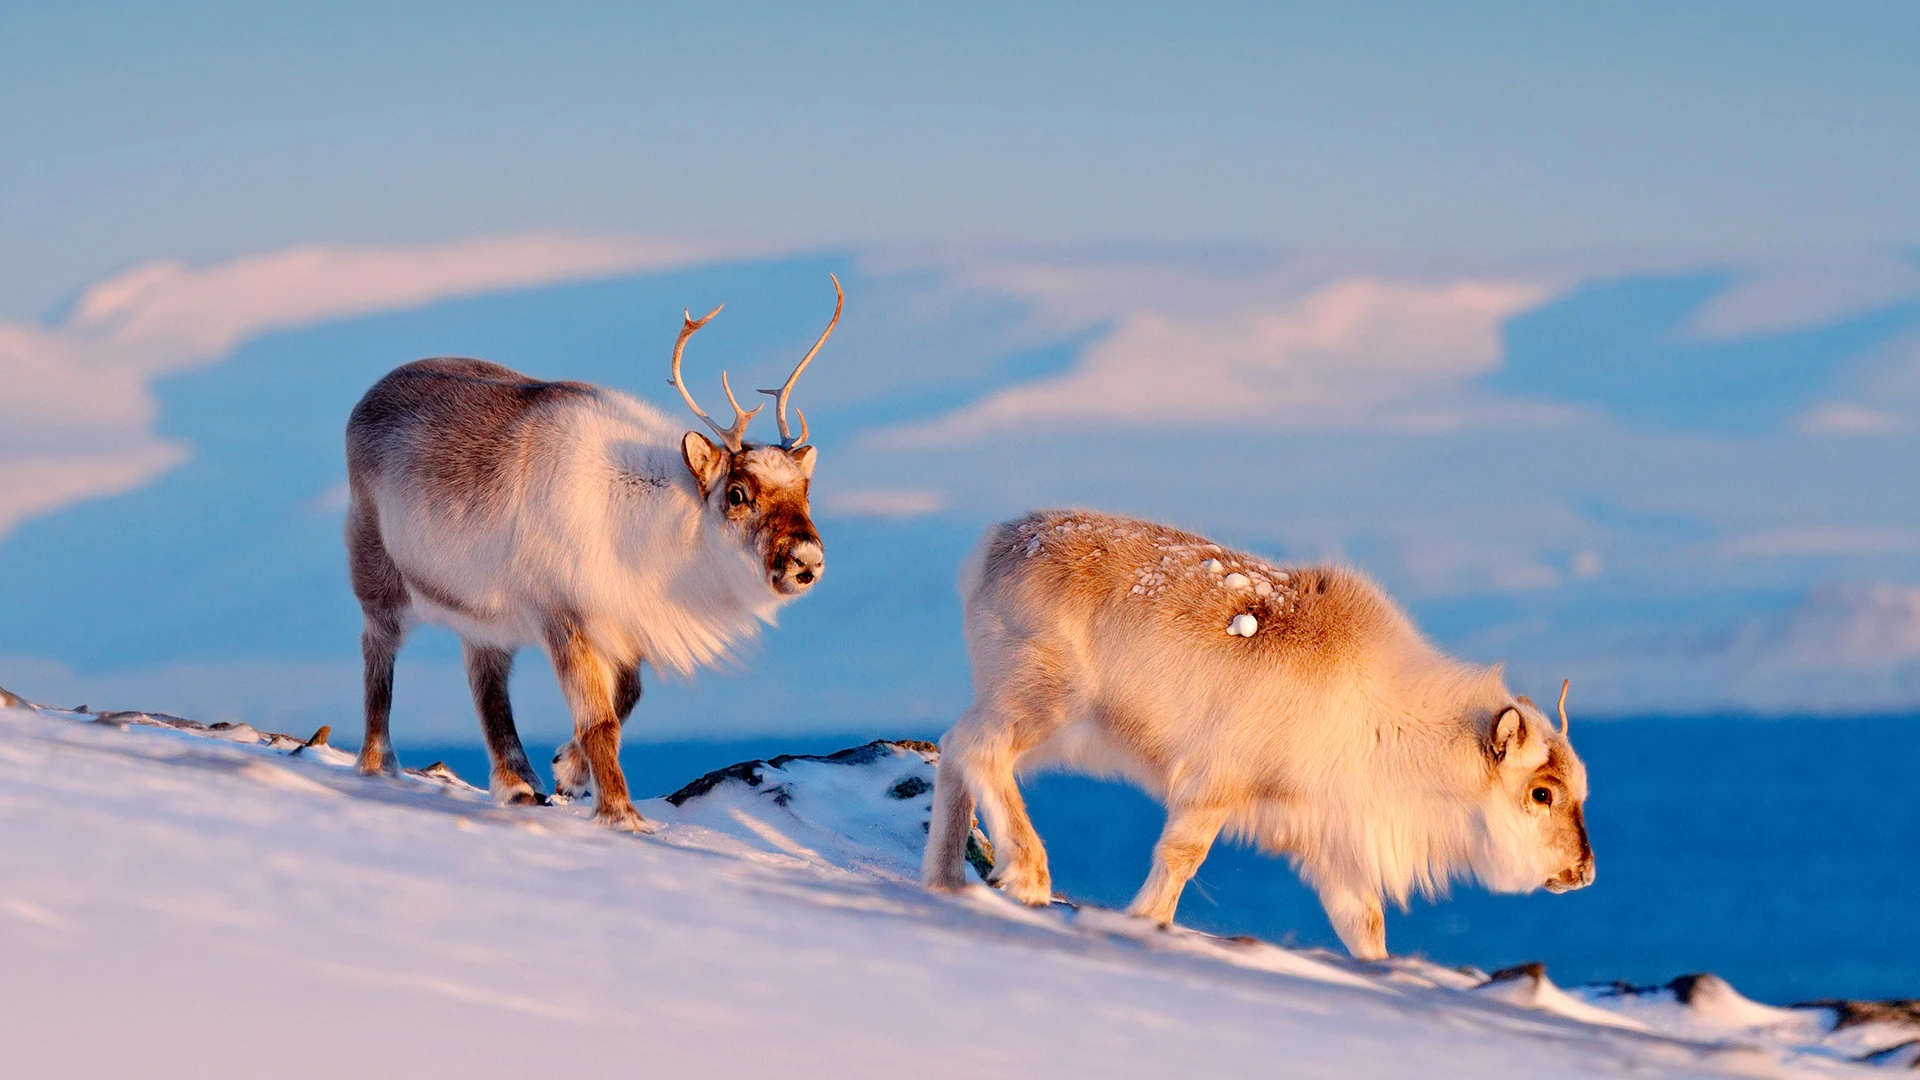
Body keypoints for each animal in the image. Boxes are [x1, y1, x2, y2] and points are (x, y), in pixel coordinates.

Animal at [343, 276, 841, 832]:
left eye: (805, 489)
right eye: (736, 493)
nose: (806, 559)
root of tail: (366, 398)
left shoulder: (626, 625)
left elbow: (626, 701)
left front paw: (568, 772)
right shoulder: (566, 619)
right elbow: (600, 720)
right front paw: (622, 815)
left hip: (484, 613)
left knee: (485, 675)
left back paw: (518, 784)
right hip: (377, 571)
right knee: (378, 653)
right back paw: (377, 763)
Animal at [923, 510, 1594, 959]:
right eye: (1541, 793)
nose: (1584, 873)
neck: (1387, 728)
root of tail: (992, 546)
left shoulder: (1328, 838)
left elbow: (1365, 923)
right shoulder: (1217, 782)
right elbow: (1181, 857)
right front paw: (1142, 922)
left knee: (955, 749)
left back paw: (946, 882)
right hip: (1044, 703)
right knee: (978, 749)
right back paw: (1028, 875)